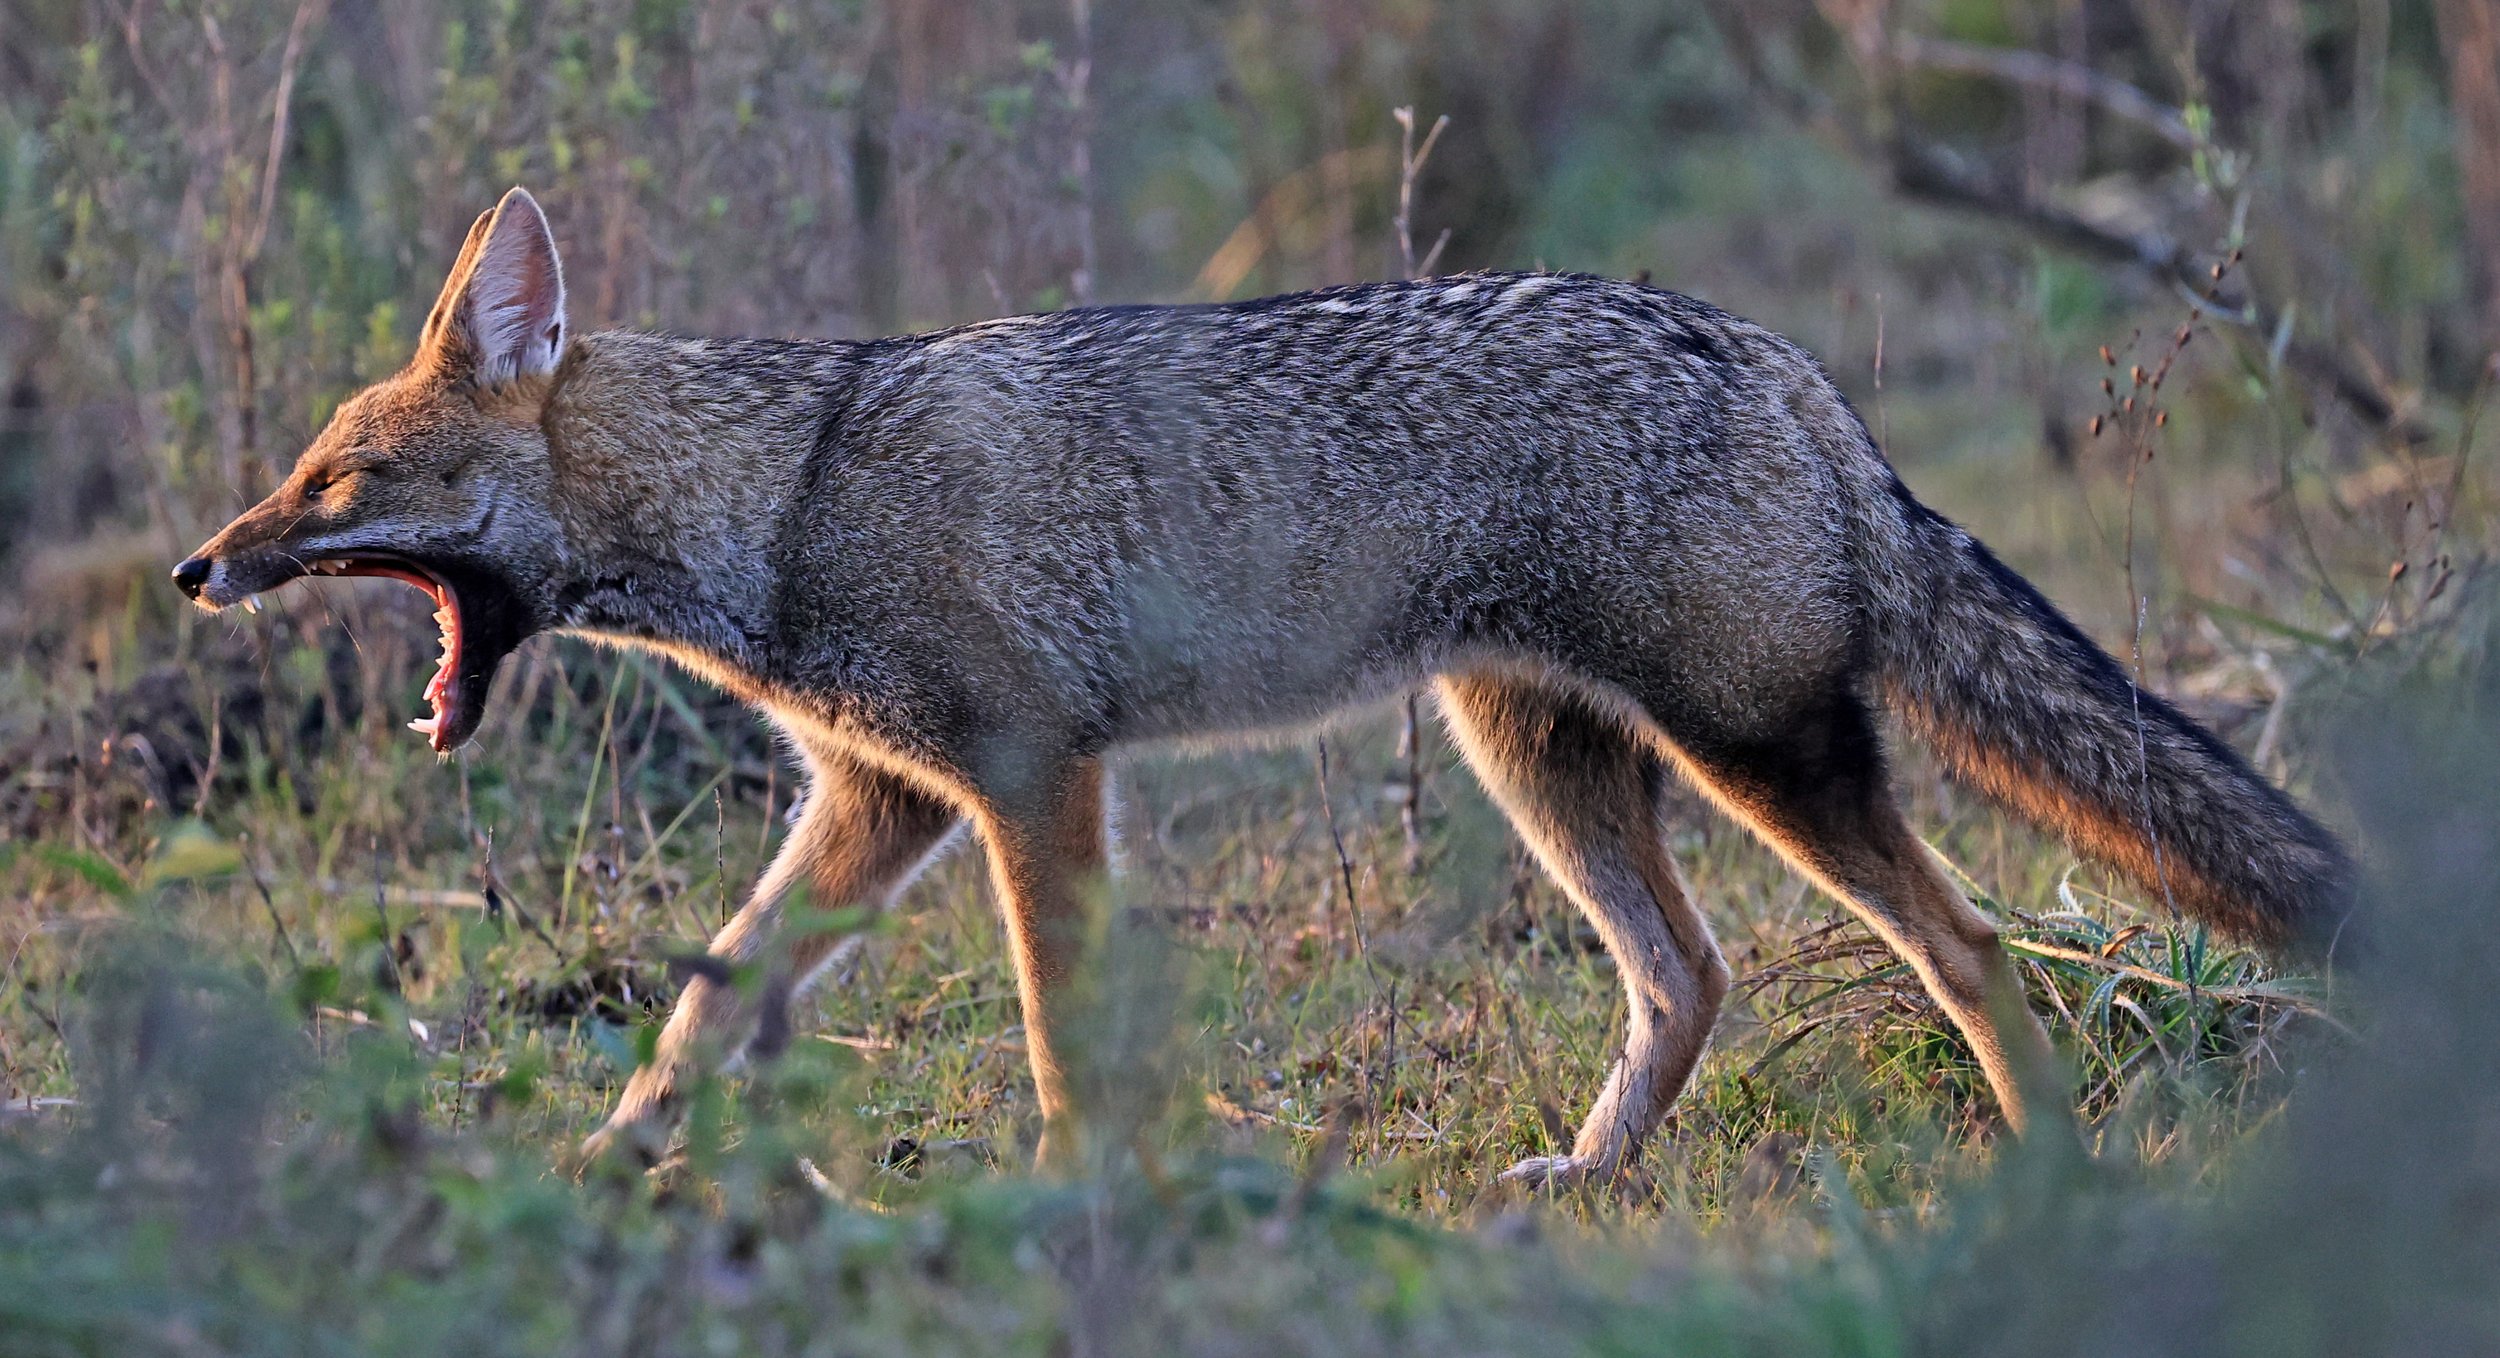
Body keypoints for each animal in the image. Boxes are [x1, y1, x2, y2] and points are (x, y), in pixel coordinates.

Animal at [175, 187, 2351, 1184]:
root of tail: (1775, 356)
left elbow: (1058, 1034)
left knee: (1966, 945)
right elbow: (707, 1006)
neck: (784, 493)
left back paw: (2046, 1167)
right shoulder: (876, 799)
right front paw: (607, 1162)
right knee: (1692, 976)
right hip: (1541, 759)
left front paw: (1077, 1202)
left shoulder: (1028, 779)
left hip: (1756, 759)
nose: (199, 567)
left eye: (336, 482)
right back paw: (1583, 1175)